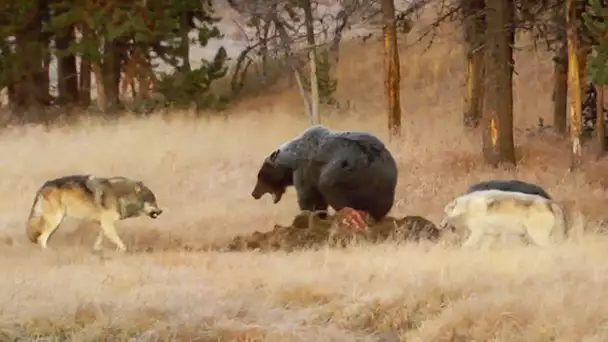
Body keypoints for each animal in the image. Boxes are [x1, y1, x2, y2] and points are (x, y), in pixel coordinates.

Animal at [25, 176, 163, 251]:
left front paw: (97, 249)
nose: (161, 211)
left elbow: (100, 238)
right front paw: (124, 252)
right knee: (41, 239)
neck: (120, 196)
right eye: (153, 202)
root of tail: (43, 186)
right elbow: (119, 242)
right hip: (56, 220)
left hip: (57, 221)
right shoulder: (107, 223)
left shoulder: (103, 224)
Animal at [252, 124, 400, 226]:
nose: (254, 194)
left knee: (334, 192)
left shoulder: (305, 171)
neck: (292, 160)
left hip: (344, 173)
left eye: (261, 175)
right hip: (385, 183)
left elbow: (310, 198)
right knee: (381, 204)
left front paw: (311, 217)